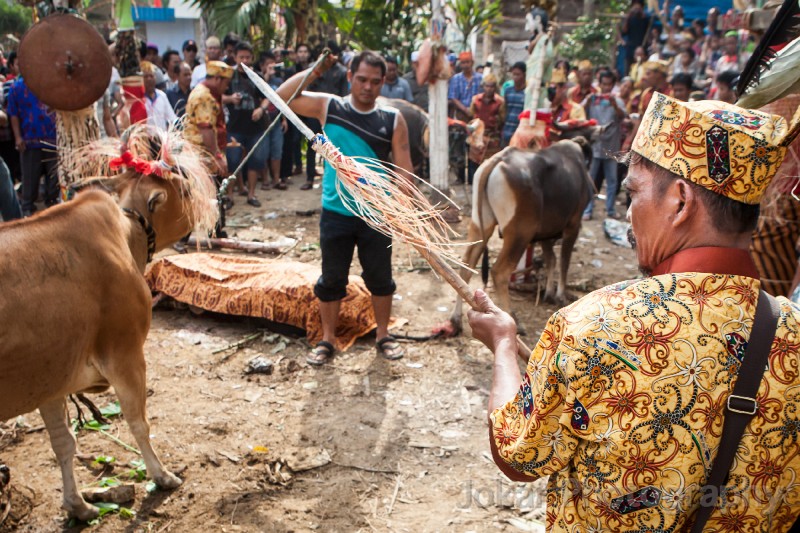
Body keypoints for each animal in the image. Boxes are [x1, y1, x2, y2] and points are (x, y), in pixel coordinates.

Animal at [0, 127, 217, 516]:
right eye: (185, 190)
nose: (213, 198)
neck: (125, 235)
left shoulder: (48, 377)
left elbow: (64, 442)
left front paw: (78, 505)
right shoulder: (125, 354)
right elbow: (138, 422)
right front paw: (162, 475)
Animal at [450, 139, 592, 330]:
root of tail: (499, 158)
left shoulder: (546, 234)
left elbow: (551, 260)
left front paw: (549, 293)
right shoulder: (573, 226)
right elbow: (563, 262)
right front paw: (560, 296)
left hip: (481, 225)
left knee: (465, 268)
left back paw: (456, 319)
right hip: (520, 233)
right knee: (499, 272)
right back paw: (512, 318)